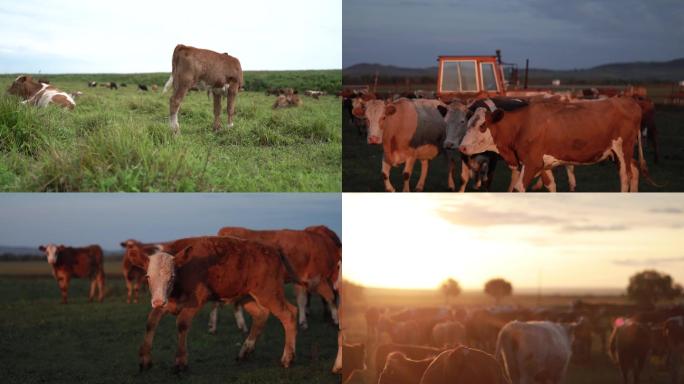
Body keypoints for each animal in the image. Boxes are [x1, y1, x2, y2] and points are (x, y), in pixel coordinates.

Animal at [127, 236, 298, 370]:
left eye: (172, 277)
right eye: (148, 276)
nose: (157, 301)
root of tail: (272, 249)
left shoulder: (197, 299)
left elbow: (182, 323)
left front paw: (181, 361)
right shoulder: (168, 302)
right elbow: (151, 322)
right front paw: (145, 359)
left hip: (270, 293)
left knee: (289, 314)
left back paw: (287, 358)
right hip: (246, 296)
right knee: (261, 315)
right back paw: (245, 352)